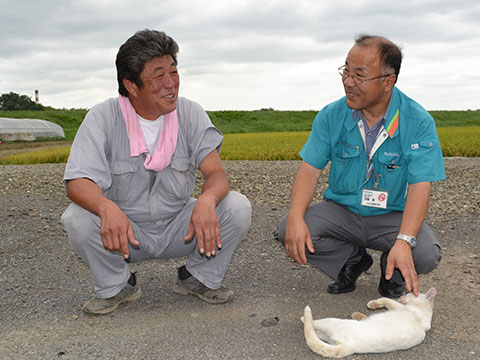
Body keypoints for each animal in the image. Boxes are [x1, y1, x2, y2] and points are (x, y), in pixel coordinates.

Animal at [304, 286, 436, 358]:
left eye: (409, 293)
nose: (401, 296)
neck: (425, 310)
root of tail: (350, 347)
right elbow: (365, 315)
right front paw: (359, 315)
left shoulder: (398, 307)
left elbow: (386, 299)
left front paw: (372, 304)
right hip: (330, 337)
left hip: (332, 322)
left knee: (313, 324)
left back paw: (305, 318)